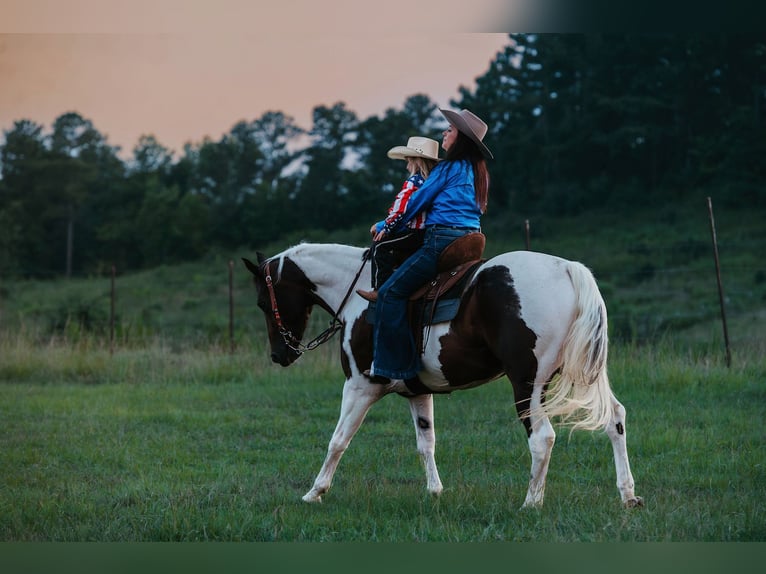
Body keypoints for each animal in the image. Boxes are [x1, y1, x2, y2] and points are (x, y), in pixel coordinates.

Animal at [243, 243, 644, 508]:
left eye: (263, 302)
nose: (280, 354)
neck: (359, 295)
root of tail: (567, 269)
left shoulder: (359, 386)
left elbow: (338, 440)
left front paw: (315, 492)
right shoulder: (417, 392)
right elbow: (426, 442)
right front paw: (434, 492)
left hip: (528, 384)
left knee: (542, 438)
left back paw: (531, 503)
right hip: (585, 374)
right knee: (615, 419)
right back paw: (628, 495)